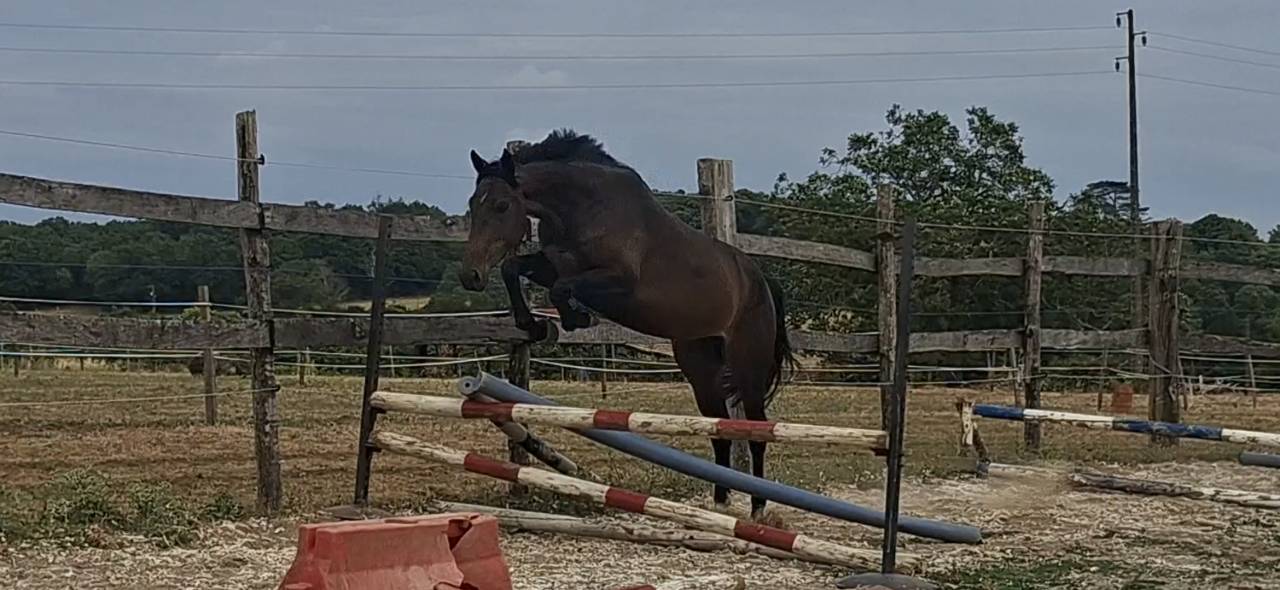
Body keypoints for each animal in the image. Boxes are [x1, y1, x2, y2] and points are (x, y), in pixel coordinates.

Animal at [458, 129, 794, 519]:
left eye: (501, 206)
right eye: (472, 204)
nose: (470, 276)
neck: (581, 209)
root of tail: (761, 280)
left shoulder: (619, 283)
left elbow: (562, 288)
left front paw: (574, 317)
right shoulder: (552, 264)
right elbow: (516, 269)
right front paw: (534, 325)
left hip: (747, 367)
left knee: (757, 429)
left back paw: (757, 507)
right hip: (700, 366)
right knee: (718, 428)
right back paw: (721, 502)